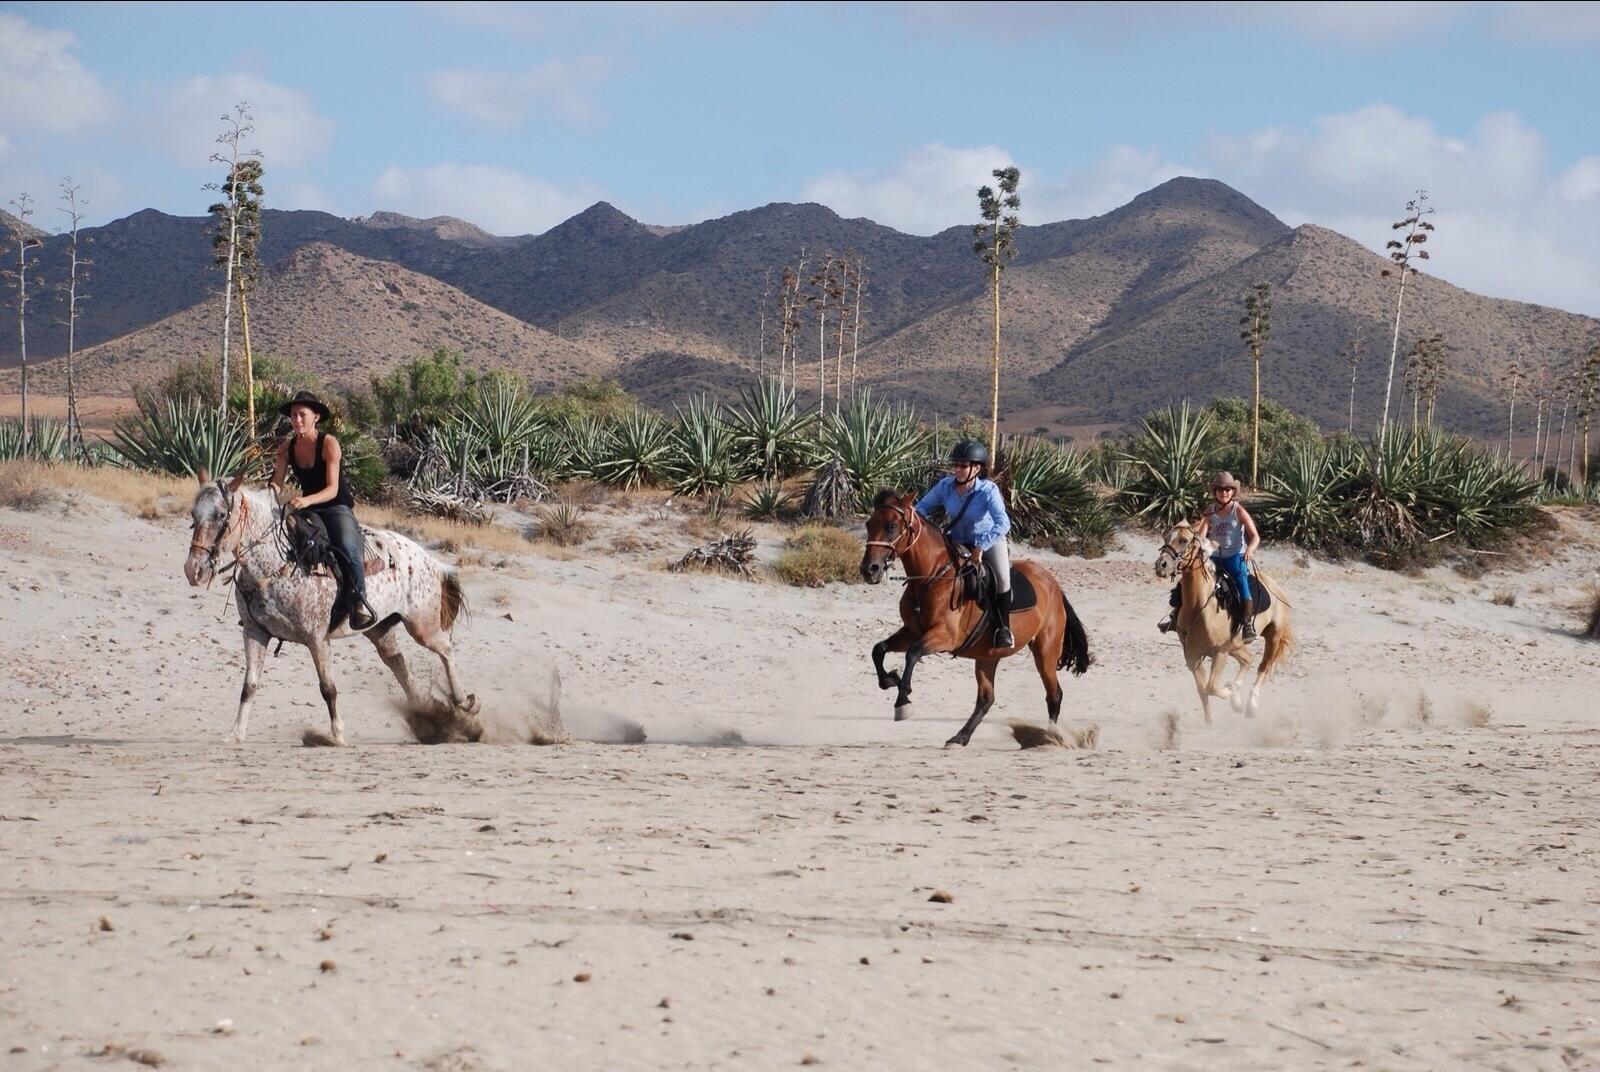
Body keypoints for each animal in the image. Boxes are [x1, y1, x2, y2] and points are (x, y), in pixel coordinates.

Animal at [184, 470, 476, 748]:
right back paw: (428, 719)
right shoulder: (255, 632)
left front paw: (337, 736)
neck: (277, 563)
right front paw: (236, 734)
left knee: (445, 650)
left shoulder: (317, 638)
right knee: (400, 667)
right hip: (380, 630)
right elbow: (249, 686)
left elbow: (328, 688)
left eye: (221, 515)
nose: (193, 570)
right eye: (194, 514)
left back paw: (465, 702)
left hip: (422, 626)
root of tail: (431, 560)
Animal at [857, 492, 1094, 752]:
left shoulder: (944, 636)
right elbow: (879, 649)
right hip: (987, 656)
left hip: (1045, 650)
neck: (931, 578)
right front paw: (890, 679)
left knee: (1054, 695)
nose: (869, 570)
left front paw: (903, 701)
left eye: (891, 526)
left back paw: (1049, 738)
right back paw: (960, 737)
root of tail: (1053, 584)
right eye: (869, 524)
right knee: (986, 699)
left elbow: (912, 654)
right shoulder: (911, 631)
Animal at [1158, 524, 1292, 726]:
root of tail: (1276, 588)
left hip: (1273, 637)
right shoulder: (1192, 655)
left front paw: (1231, 694)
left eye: (1183, 540)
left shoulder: (1219, 652)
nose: (1161, 565)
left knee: (1263, 667)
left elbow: (1211, 687)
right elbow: (1203, 690)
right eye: (1166, 537)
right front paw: (1210, 721)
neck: (1199, 605)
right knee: (1248, 659)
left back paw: (1250, 705)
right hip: (1235, 645)